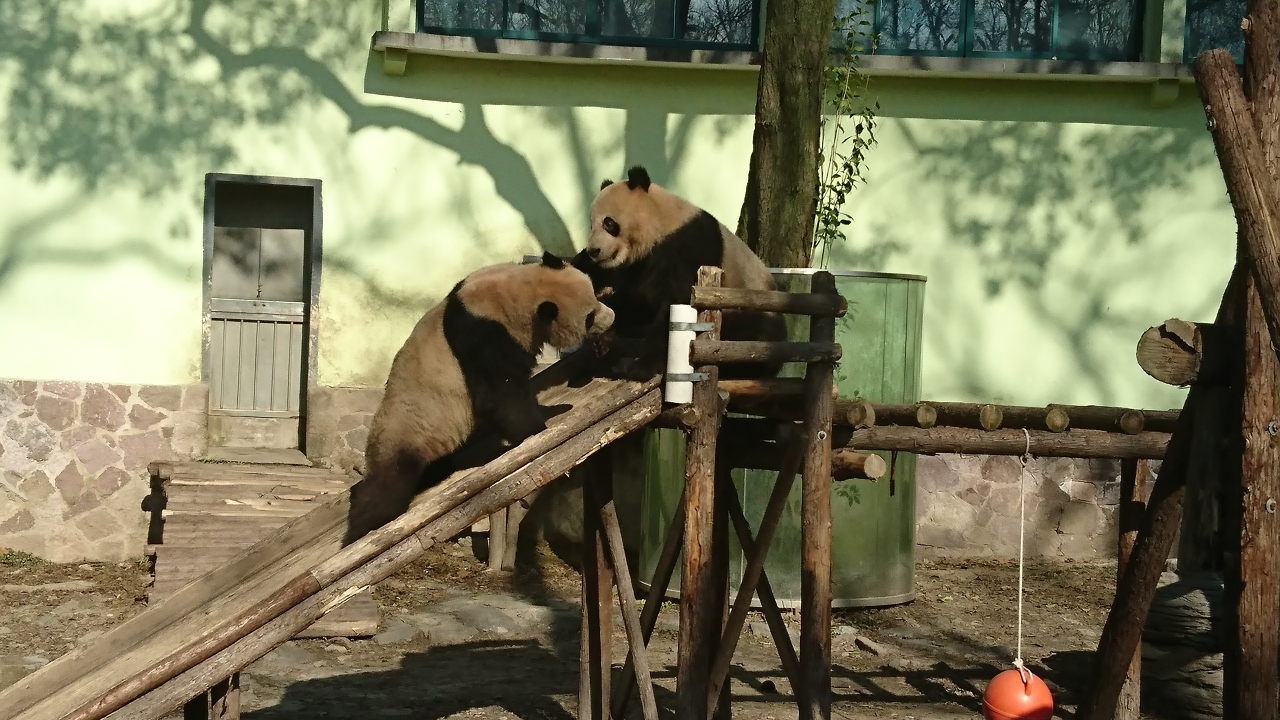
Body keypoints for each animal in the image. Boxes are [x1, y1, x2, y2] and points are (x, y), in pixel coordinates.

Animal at [345, 249, 614, 540]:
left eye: (595, 295)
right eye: (588, 317)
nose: (611, 317)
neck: (516, 292)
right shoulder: (485, 336)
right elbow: (499, 395)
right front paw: (536, 432)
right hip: (403, 431)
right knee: (386, 486)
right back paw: (362, 530)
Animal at [573, 165, 788, 381]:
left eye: (609, 223)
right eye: (592, 225)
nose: (593, 251)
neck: (662, 223)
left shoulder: (687, 247)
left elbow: (674, 304)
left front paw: (642, 368)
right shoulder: (643, 264)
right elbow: (640, 302)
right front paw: (602, 335)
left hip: (749, 309)